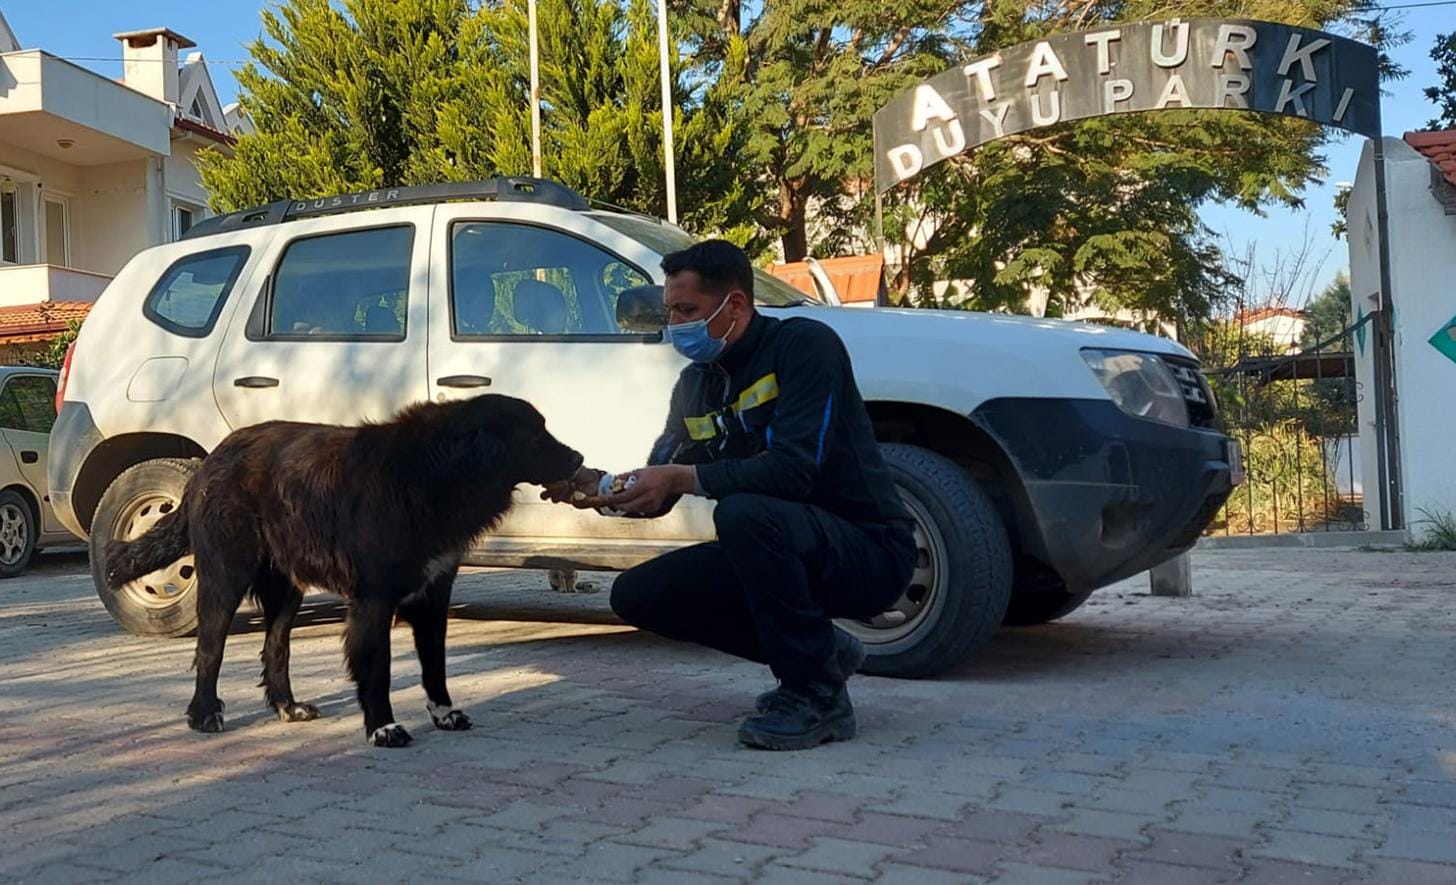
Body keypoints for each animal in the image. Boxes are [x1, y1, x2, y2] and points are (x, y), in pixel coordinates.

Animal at [104, 393, 585, 745]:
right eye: (535, 436)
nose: (579, 458)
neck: (431, 470)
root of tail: (211, 460)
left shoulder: (433, 595)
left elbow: (435, 664)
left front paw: (444, 713)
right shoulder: (374, 599)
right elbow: (378, 667)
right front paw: (384, 727)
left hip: (286, 590)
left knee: (275, 648)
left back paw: (288, 707)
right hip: (226, 576)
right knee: (210, 649)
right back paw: (204, 713)